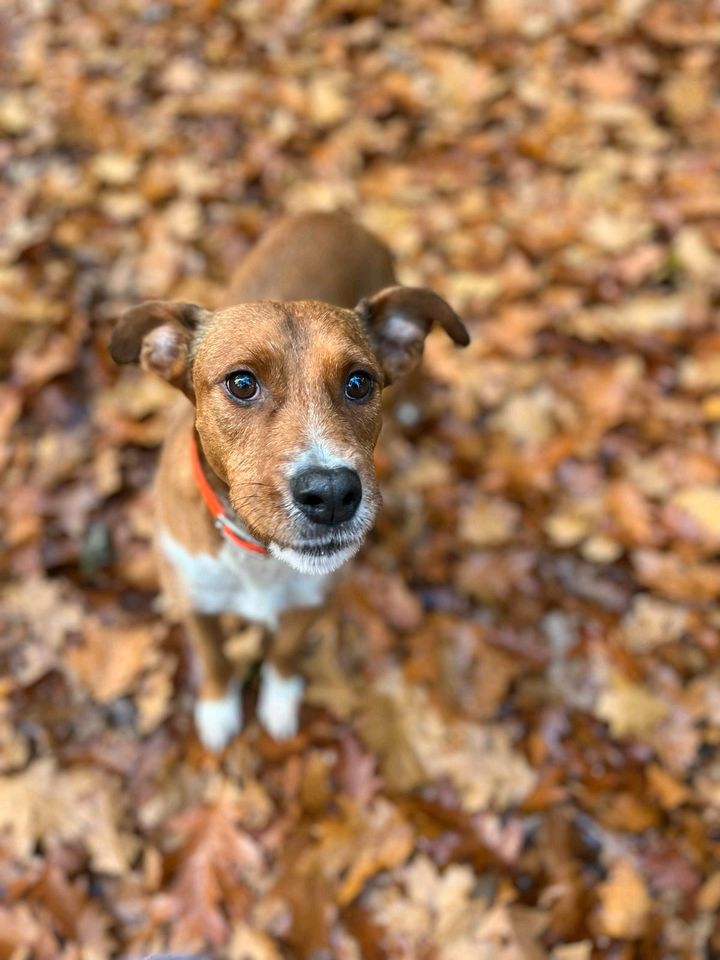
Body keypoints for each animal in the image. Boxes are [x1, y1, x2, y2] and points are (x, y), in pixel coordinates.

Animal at [109, 214, 470, 752]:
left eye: (360, 382)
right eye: (241, 383)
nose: (333, 494)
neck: (256, 553)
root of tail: (333, 214)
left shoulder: (311, 603)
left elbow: (282, 654)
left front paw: (278, 704)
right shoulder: (194, 603)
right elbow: (215, 659)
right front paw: (218, 709)